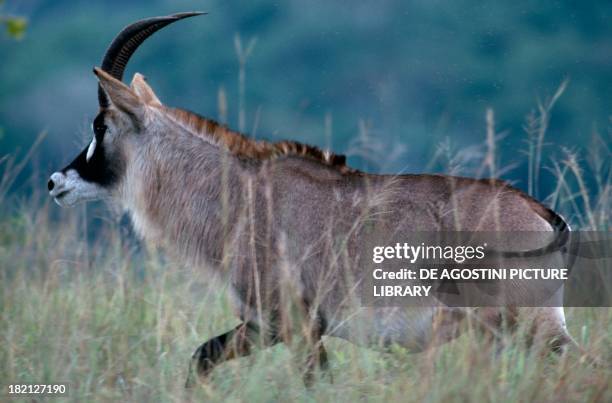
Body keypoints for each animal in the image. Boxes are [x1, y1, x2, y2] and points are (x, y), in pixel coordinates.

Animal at [49, 12, 580, 386]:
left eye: (101, 126)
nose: (56, 182)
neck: (240, 194)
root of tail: (539, 212)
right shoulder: (265, 325)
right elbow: (201, 358)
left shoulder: (294, 323)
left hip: (526, 326)